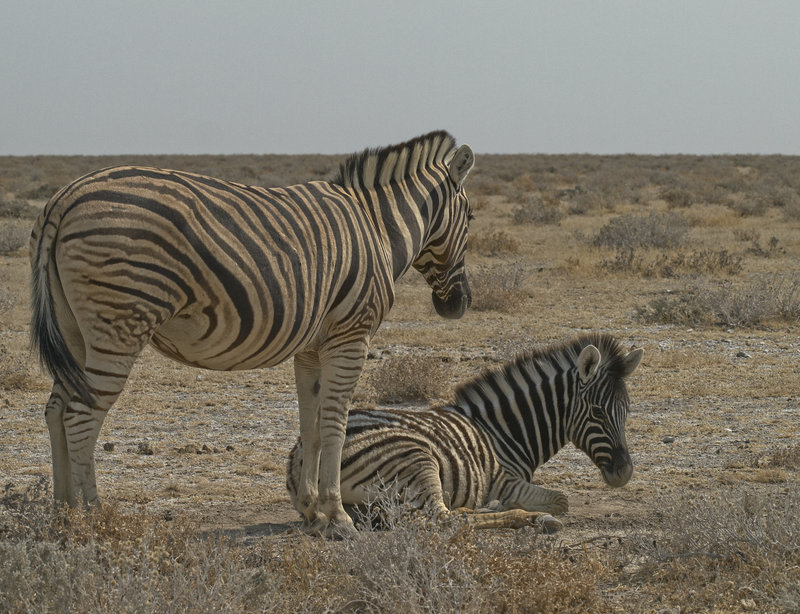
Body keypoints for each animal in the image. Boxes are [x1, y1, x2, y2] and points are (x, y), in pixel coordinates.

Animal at [29, 130, 474, 538]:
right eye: (470, 219)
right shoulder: (350, 336)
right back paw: (94, 519)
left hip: (74, 332)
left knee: (55, 411)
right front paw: (338, 515)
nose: (460, 305)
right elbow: (335, 423)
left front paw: (312, 511)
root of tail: (64, 197)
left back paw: (61, 513)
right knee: (80, 418)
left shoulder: (310, 348)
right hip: (119, 325)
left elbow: (311, 426)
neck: (377, 228)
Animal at [287, 333, 643, 531]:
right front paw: (530, 510)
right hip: (417, 459)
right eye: (597, 412)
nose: (624, 473)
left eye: (627, 411)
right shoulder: (505, 481)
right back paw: (522, 517)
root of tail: (299, 455)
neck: (502, 432)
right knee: (441, 518)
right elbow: (561, 500)